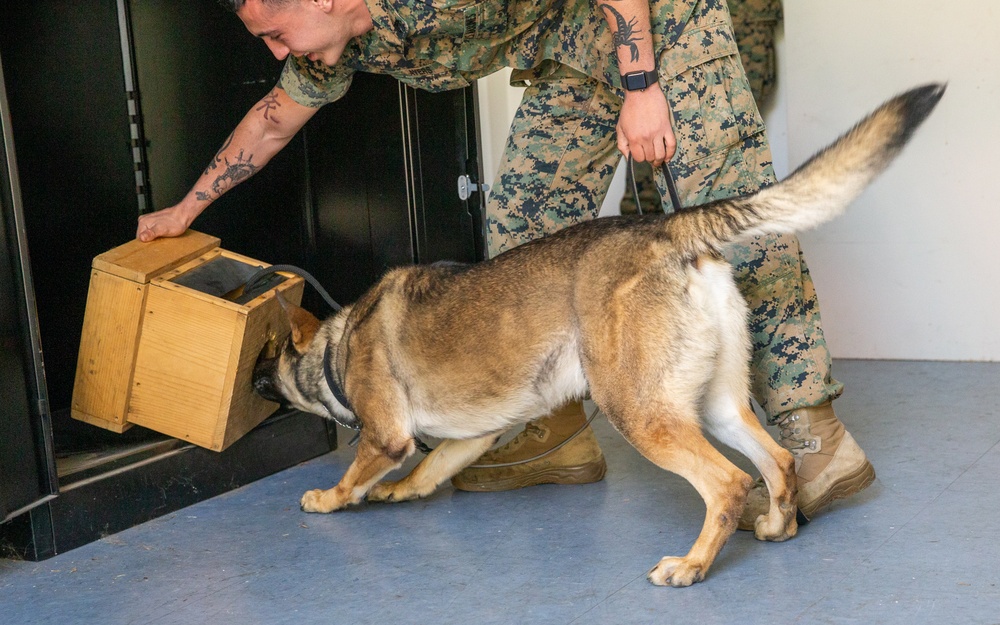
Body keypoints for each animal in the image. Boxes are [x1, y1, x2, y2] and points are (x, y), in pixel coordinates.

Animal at [252, 83, 944, 584]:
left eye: (268, 355)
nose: (255, 381)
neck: (338, 344)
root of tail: (667, 229)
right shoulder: (471, 437)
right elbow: (427, 469)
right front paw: (401, 490)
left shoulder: (385, 436)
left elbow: (355, 475)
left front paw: (329, 497)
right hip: (713, 405)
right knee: (775, 461)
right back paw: (778, 527)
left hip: (639, 410)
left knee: (727, 482)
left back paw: (692, 565)